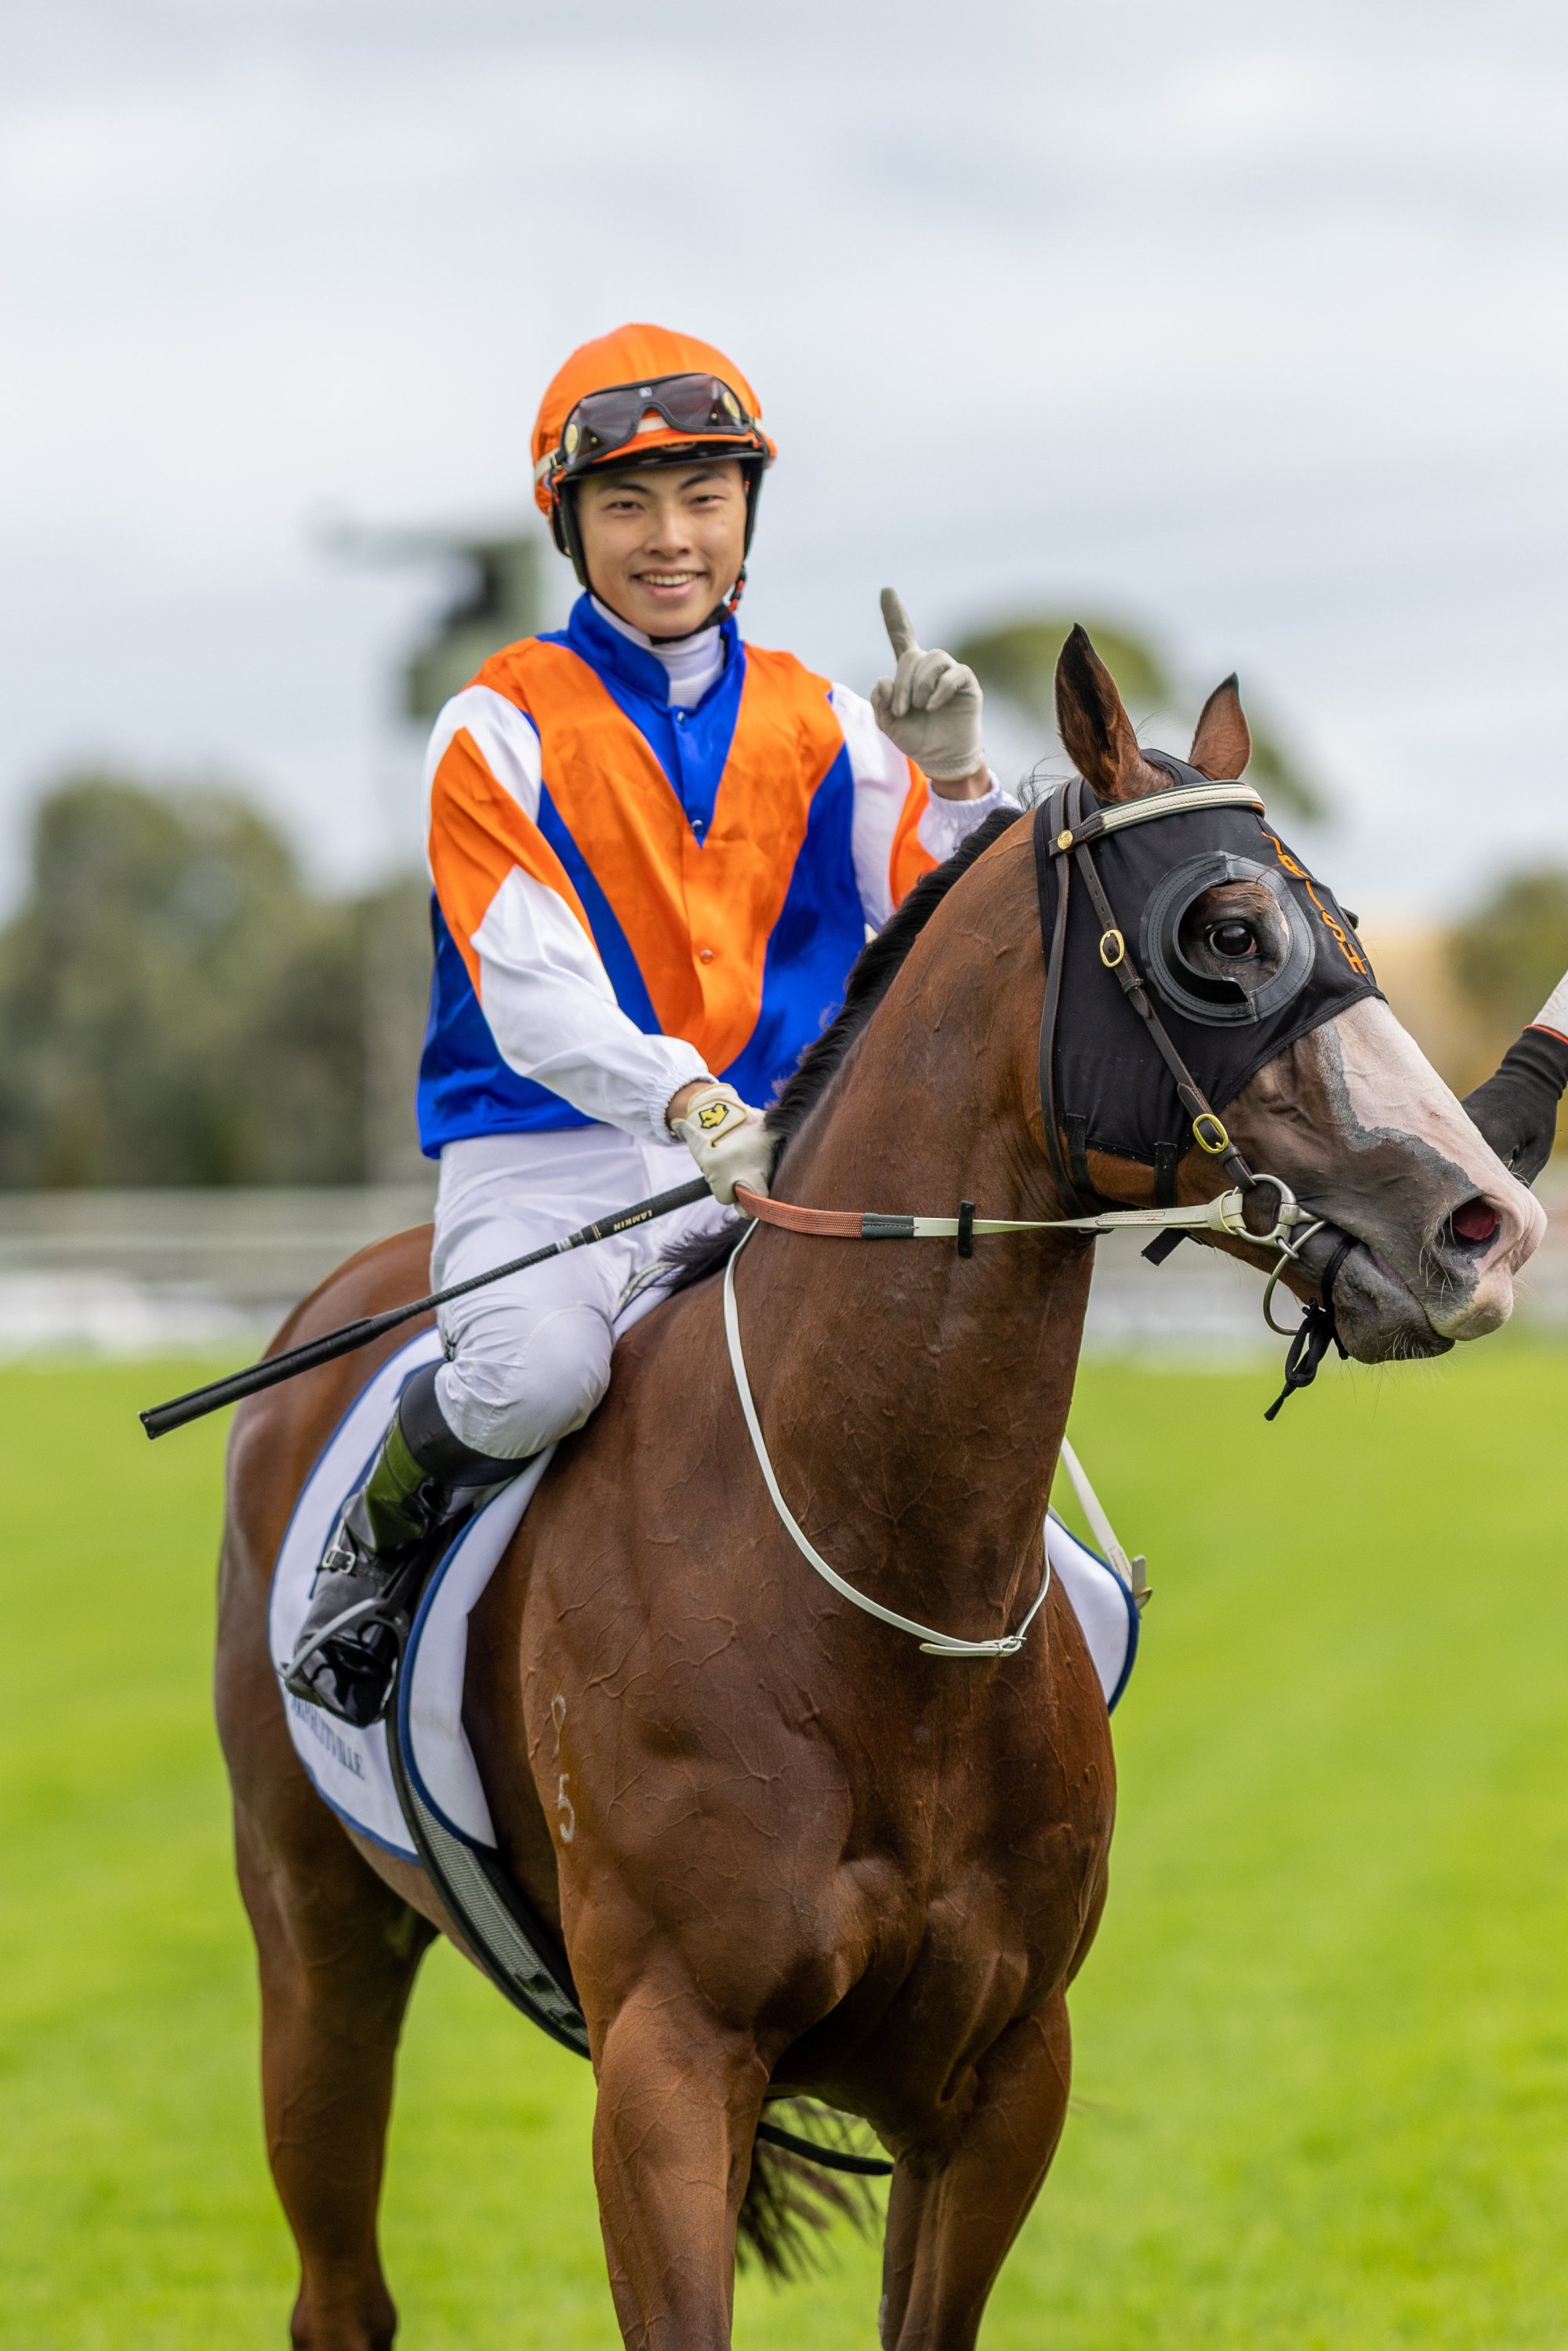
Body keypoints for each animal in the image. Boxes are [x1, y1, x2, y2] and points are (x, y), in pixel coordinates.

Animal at [211, 634, 1542, 2342]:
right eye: (1226, 934)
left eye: (1350, 923)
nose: (1485, 1221)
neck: (874, 1597)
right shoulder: (668, 2066)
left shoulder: (999, 2079)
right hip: (317, 1938)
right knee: (339, 2283)